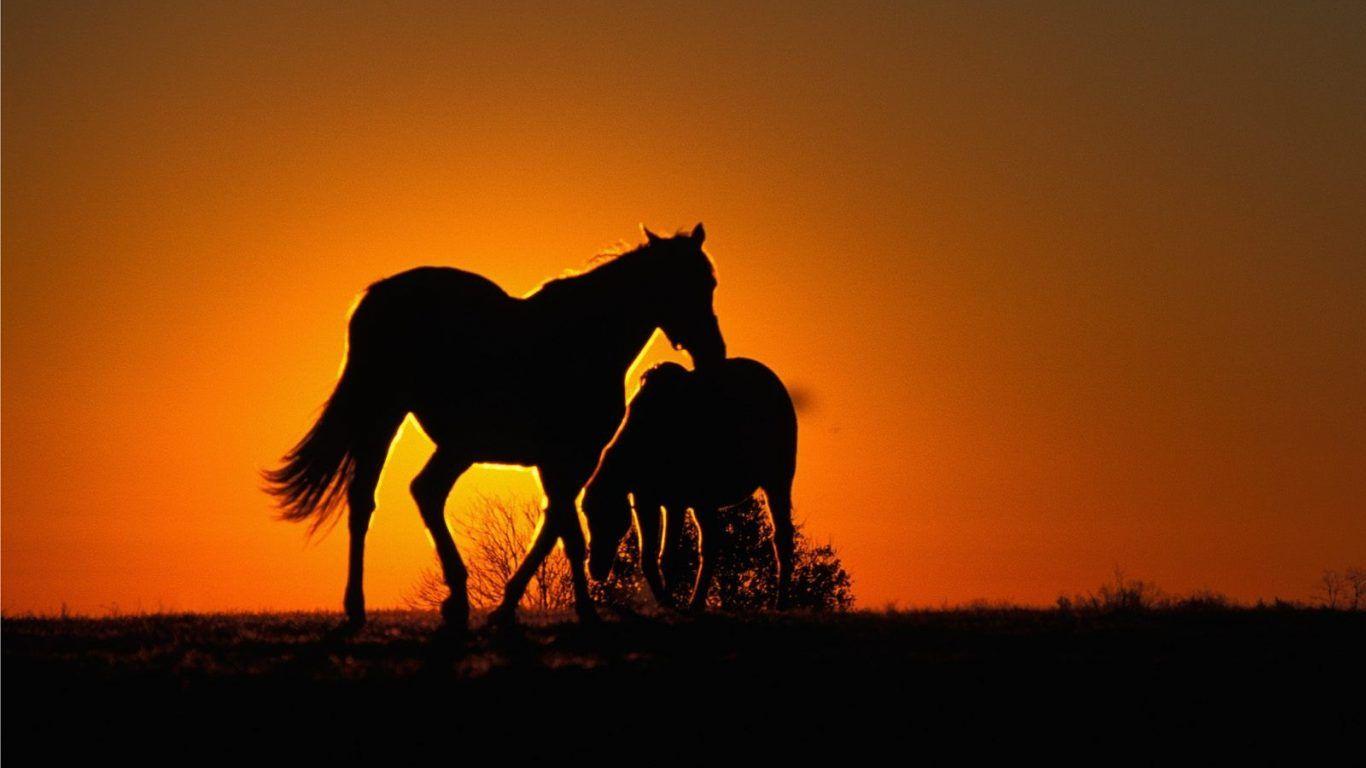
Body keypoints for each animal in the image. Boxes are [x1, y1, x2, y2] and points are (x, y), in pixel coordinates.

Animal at [264, 224, 724, 632]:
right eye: (688, 283)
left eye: (711, 282)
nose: (713, 352)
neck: (586, 340)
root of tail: (376, 295)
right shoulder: (568, 458)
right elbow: (568, 533)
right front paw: (585, 612)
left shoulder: (562, 462)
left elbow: (552, 529)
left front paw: (507, 607)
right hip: (387, 416)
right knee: (366, 501)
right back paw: (360, 607)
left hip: (456, 445)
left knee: (423, 492)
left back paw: (455, 600)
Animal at [582, 357, 797, 611]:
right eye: (586, 516)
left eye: (608, 517)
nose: (595, 568)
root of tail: (777, 384)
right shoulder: (646, 500)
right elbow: (647, 558)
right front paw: (665, 602)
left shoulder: (675, 501)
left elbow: (667, 557)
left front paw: (669, 603)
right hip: (705, 500)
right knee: (711, 544)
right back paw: (696, 603)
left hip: (777, 478)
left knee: (782, 536)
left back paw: (781, 602)